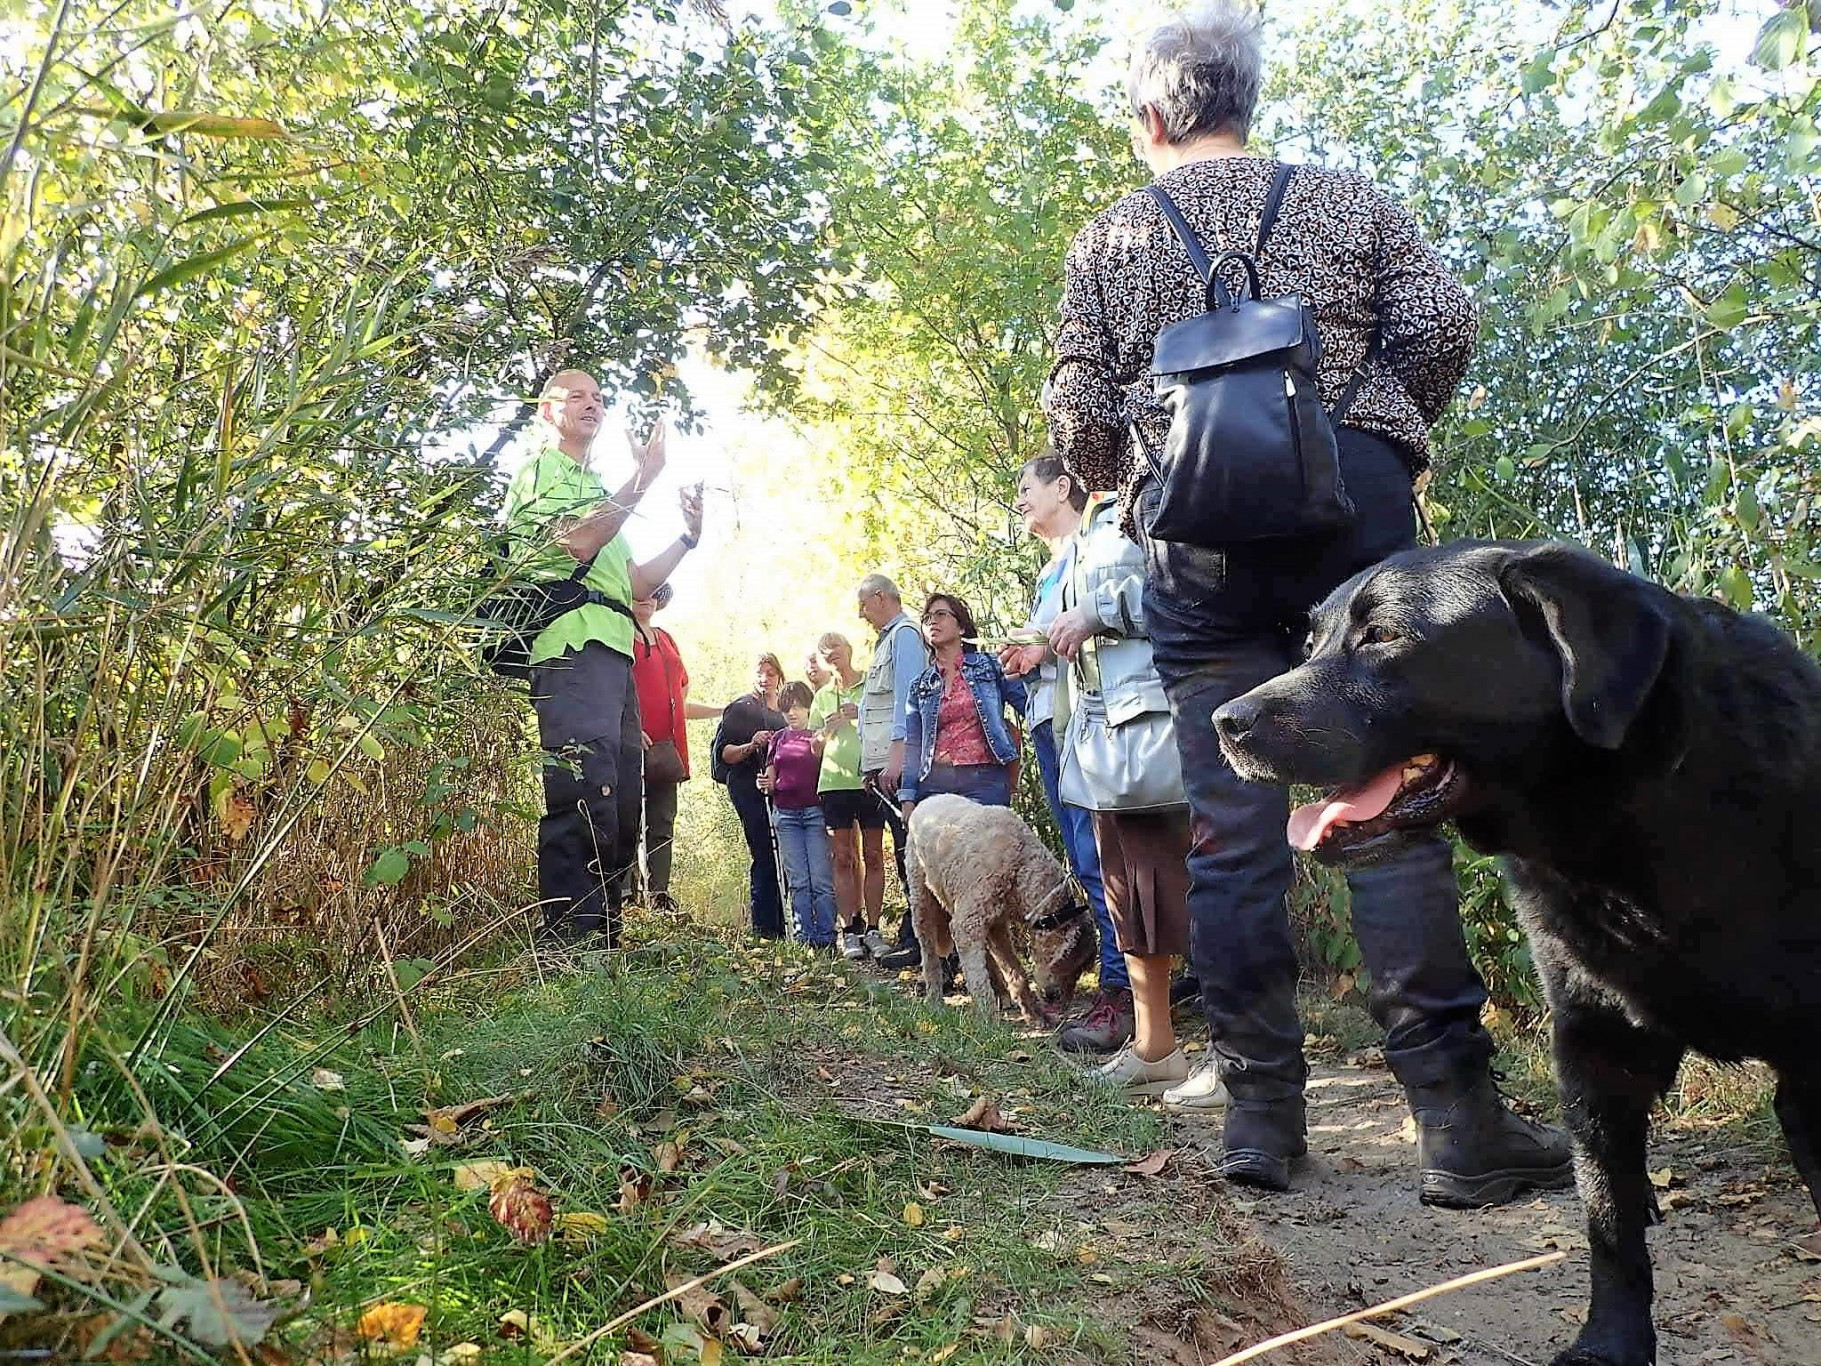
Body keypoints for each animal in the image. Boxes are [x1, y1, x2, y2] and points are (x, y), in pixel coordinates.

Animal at [906, 797, 1092, 1019]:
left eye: (1079, 971)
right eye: (1068, 964)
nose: (1058, 1002)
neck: (1021, 863)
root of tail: (926, 801)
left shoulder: (996, 925)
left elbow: (1016, 971)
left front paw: (1035, 1015)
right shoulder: (967, 925)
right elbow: (979, 981)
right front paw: (988, 1020)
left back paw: (1001, 994)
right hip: (921, 900)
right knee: (929, 952)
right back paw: (934, 998)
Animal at [1209, 542, 1821, 1366]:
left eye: (1383, 636)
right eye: (1309, 646)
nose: (1223, 721)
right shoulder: (1594, 1049)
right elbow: (1608, 1222)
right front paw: (1610, 1343)